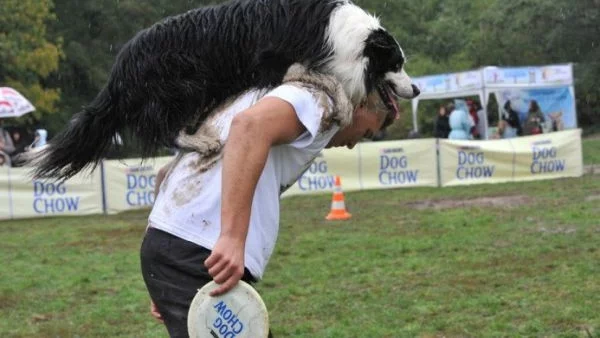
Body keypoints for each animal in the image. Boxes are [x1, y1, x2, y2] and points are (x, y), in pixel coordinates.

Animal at [32, 0, 418, 180]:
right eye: (397, 63)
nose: (415, 88)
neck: (344, 37)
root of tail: (120, 66)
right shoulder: (276, 61)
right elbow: (321, 77)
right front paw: (343, 103)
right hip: (186, 84)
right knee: (164, 129)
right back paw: (200, 142)